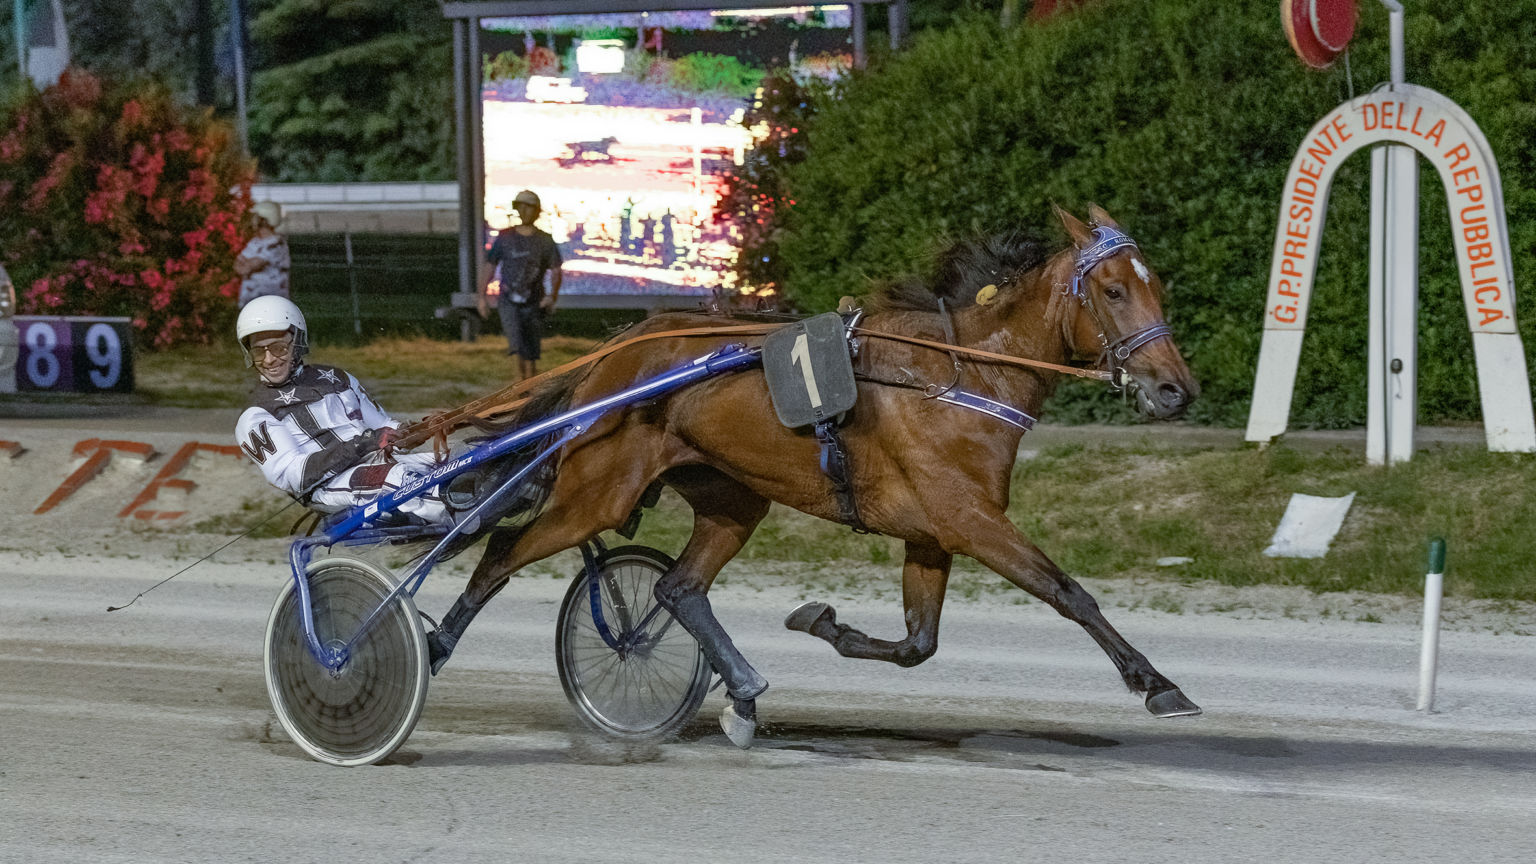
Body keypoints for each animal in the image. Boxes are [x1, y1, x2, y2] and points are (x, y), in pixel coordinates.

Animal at [430, 204, 1198, 744]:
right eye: (1112, 290)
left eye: (1157, 285)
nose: (1175, 391)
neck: (964, 377)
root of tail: (611, 355)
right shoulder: (970, 520)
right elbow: (1070, 593)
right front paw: (1158, 684)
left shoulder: (931, 534)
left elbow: (918, 644)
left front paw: (820, 621)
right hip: (596, 491)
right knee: (501, 552)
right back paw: (432, 646)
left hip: (732, 497)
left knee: (679, 588)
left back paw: (741, 693)